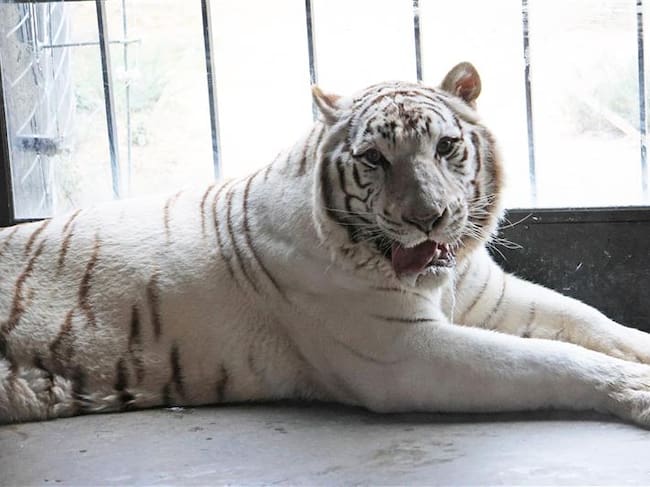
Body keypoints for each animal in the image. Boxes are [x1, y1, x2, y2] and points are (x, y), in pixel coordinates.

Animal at [2, 61, 650, 427]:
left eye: (445, 147)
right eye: (374, 159)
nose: (429, 219)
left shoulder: (487, 295)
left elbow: (589, 319)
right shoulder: (405, 352)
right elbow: (555, 357)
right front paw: (638, 390)